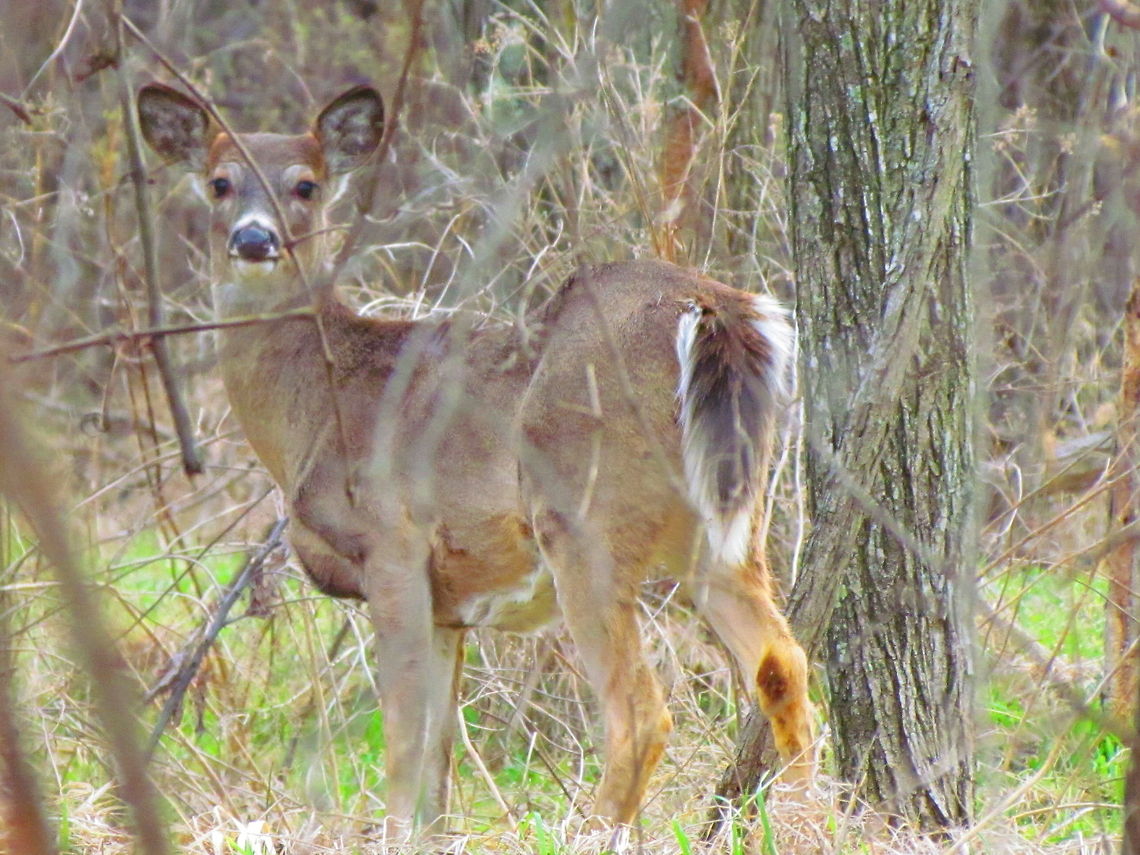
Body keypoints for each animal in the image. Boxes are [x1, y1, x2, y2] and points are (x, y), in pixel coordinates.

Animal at [136, 81, 815, 838]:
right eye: (219, 182)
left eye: (305, 185)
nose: (254, 239)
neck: (317, 409)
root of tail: (716, 305)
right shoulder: (448, 605)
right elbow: (438, 757)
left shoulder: (394, 544)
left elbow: (403, 737)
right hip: (728, 524)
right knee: (783, 665)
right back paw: (815, 822)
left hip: (582, 515)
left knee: (641, 713)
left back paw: (592, 831)